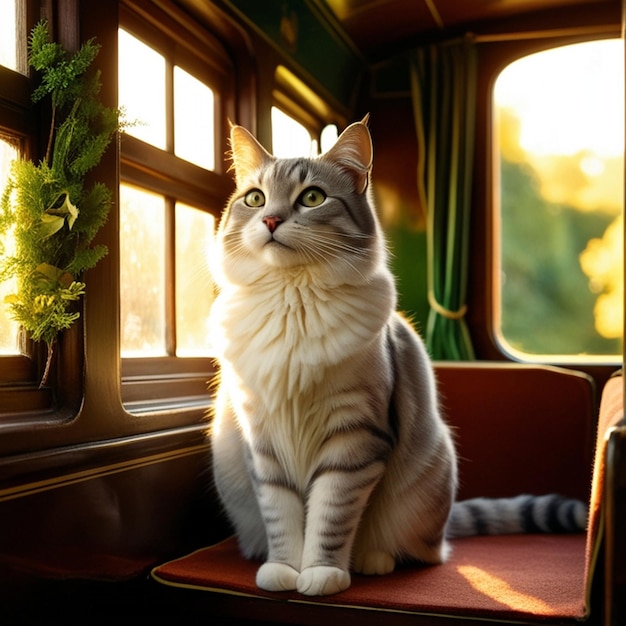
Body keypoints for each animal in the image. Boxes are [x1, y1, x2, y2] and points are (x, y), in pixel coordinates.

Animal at [207, 116, 584, 596]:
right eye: (254, 199)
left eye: (312, 197)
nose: (271, 219)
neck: (294, 302)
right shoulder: (263, 440)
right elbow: (283, 519)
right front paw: (284, 571)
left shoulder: (353, 437)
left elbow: (328, 519)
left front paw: (322, 574)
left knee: (421, 551)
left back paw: (371, 562)